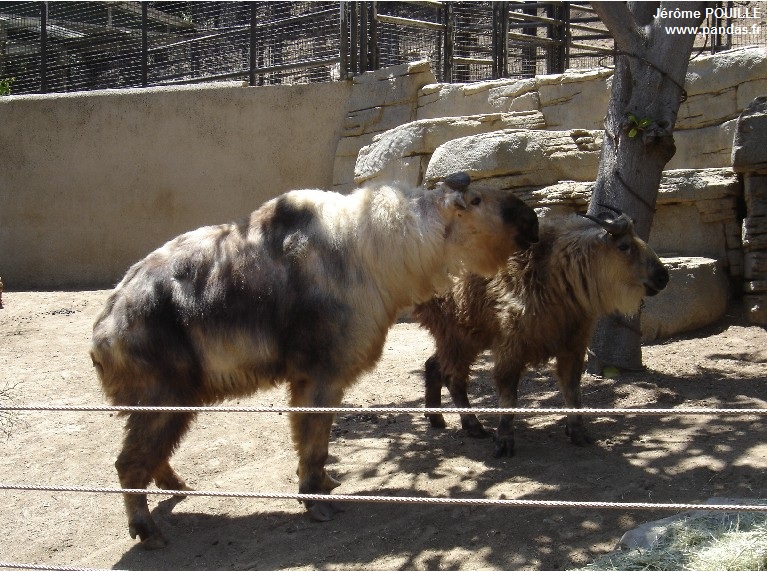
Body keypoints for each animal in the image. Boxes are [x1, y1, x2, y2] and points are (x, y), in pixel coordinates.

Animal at [90, 172, 540, 549]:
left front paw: (324, 483)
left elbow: (320, 443)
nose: (534, 220)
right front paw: (313, 499)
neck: (378, 246)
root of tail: (105, 326)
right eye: (477, 199)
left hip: (174, 402)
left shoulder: (326, 380)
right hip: (165, 397)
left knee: (150, 456)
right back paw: (146, 528)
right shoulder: (320, 376)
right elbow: (311, 441)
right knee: (128, 463)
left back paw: (176, 487)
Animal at [413, 209, 669, 457]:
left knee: (434, 365)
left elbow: (573, 391)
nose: (663, 277)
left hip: (464, 338)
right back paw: (472, 425)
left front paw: (578, 432)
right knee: (453, 377)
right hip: (457, 336)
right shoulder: (510, 348)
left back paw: (435, 417)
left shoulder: (572, 347)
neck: (554, 274)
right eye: (624, 246)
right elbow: (509, 397)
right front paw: (504, 441)